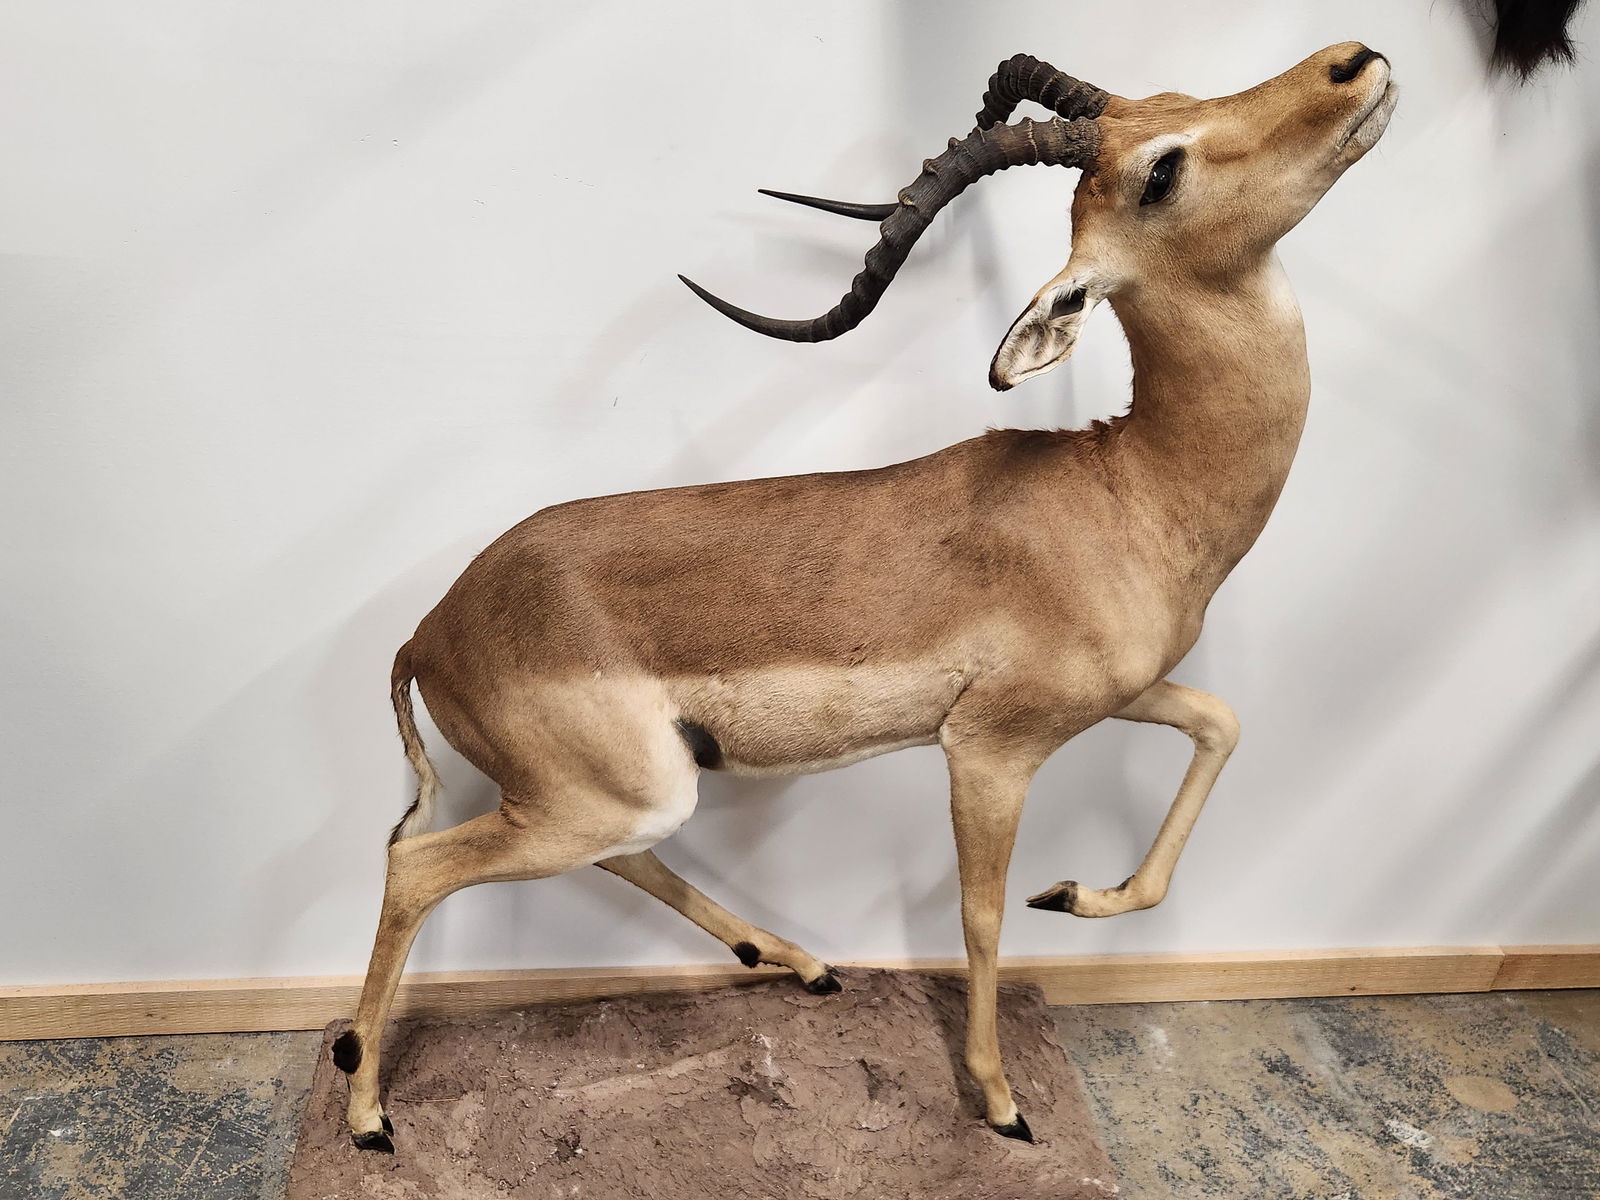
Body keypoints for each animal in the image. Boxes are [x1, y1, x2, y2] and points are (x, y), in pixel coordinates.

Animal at [335, 43, 1397, 1149]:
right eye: (1160, 168)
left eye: (1179, 94)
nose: (1353, 62)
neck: (1128, 488)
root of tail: (427, 632)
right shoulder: (990, 749)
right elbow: (980, 916)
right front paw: (1002, 1102)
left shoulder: (1123, 694)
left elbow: (1221, 726)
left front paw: (1074, 893)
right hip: (606, 798)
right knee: (416, 866)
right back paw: (367, 1112)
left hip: (631, 798)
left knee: (604, 861)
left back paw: (803, 965)